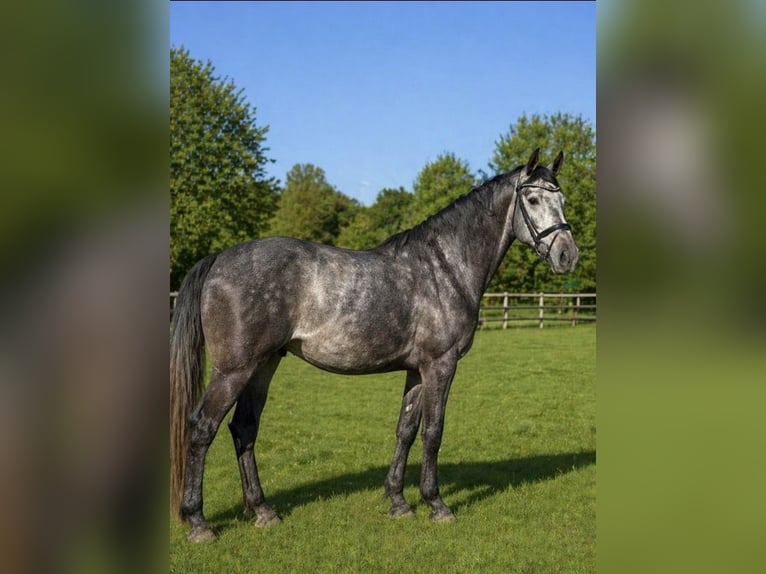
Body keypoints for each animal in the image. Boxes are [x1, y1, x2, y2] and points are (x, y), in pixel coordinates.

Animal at [170, 148, 579, 541]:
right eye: (532, 199)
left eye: (561, 199)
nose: (567, 255)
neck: (445, 267)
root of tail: (218, 259)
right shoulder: (441, 365)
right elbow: (434, 432)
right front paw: (436, 504)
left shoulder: (417, 370)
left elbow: (406, 429)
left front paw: (398, 500)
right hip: (234, 370)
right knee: (203, 427)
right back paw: (198, 522)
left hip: (264, 364)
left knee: (244, 428)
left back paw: (262, 511)